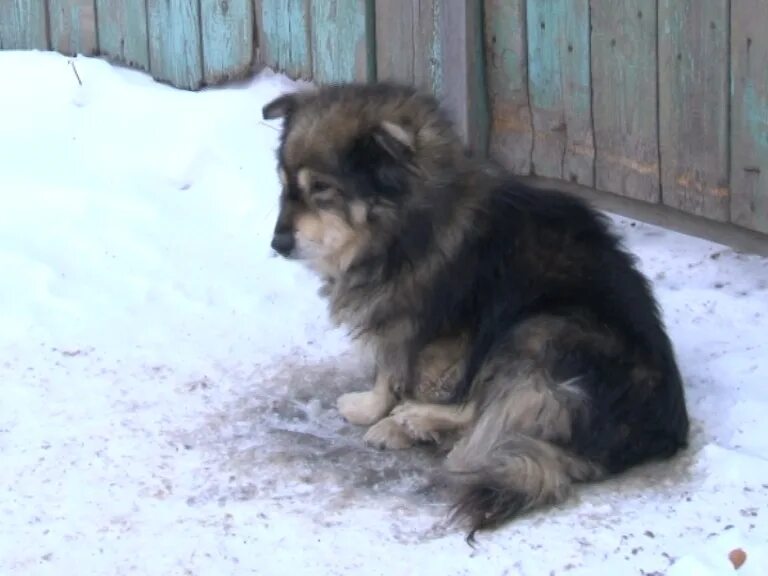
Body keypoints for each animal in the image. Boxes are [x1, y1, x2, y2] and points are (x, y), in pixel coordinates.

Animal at [262, 82, 688, 540]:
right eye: (284, 186)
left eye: (322, 188)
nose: (278, 244)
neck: (408, 225)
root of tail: (651, 435)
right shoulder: (404, 320)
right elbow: (389, 369)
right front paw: (373, 405)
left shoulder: (441, 333)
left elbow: (408, 377)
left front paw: (385, 414)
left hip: (539, 328)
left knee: (486, 419)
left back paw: (416, 421)